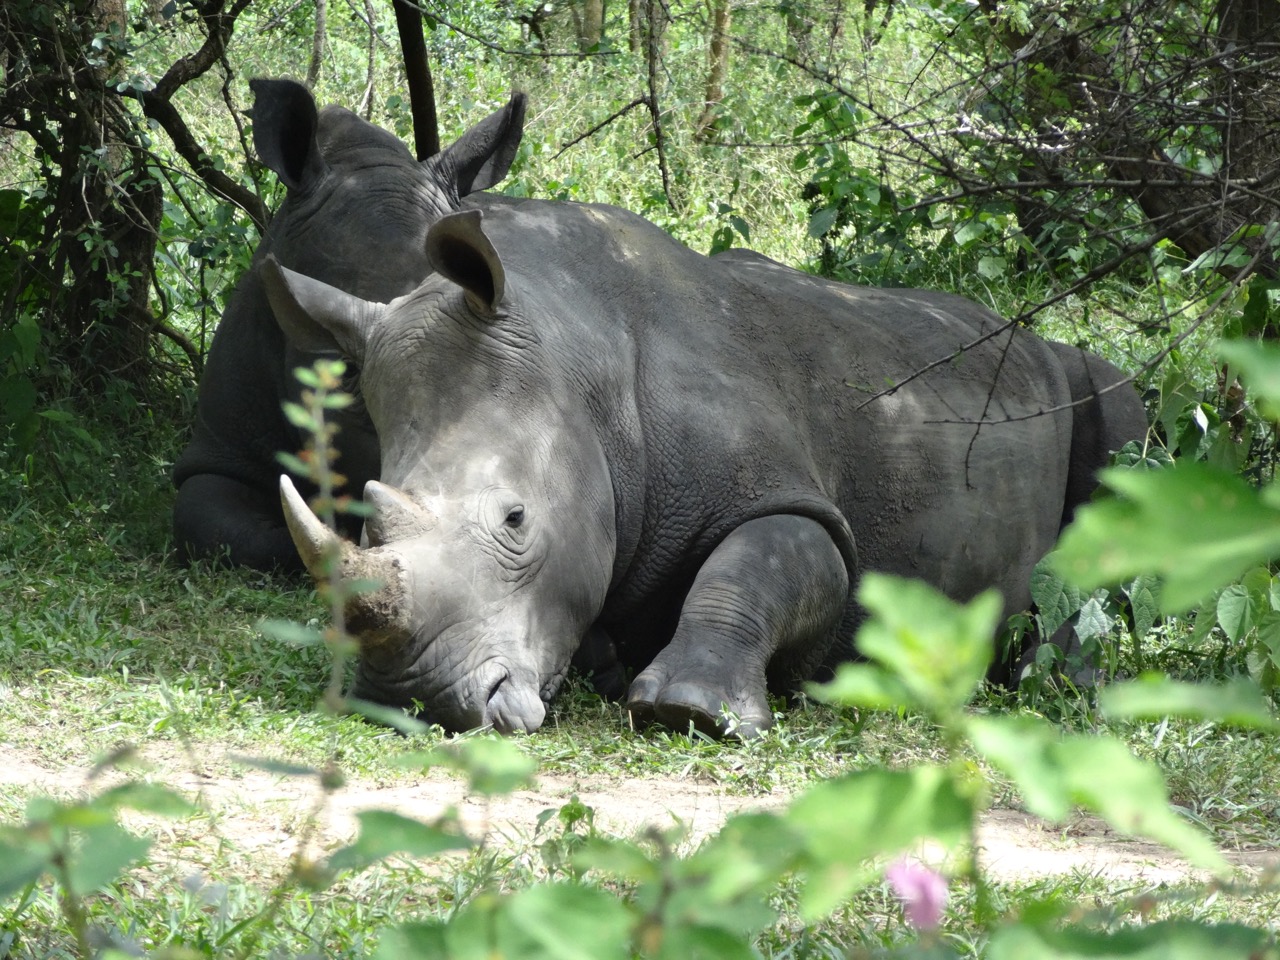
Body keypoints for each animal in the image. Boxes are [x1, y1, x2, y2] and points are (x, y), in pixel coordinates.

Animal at [262, 196, 1147, 737]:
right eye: (366, 521)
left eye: (515, 520)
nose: (412, 695)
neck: (578, 359)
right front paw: (605, 662)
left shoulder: (785, 493)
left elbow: (762, 559)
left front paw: (688, 711)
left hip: (1076, 375)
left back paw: (1053, 683)